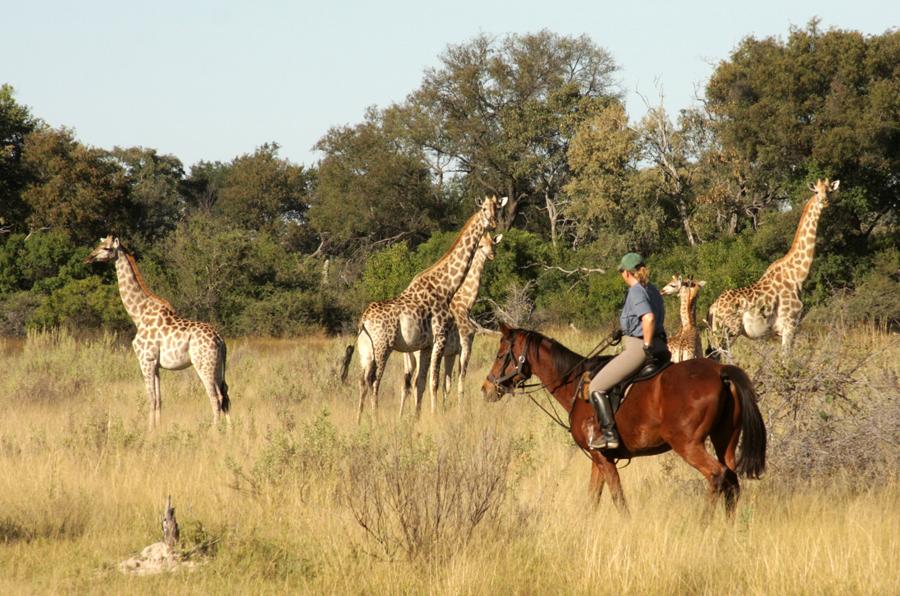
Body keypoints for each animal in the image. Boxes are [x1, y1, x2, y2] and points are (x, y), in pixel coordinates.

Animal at [86, 235, 230, 430]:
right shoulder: (156, 364)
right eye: (99, 244)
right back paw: (230, 430)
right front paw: (157, 429)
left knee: (215, 398)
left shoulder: (145, 360)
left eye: (107, 248)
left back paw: (214, 431)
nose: (89, 257)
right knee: (225, 395)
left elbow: (151, 399)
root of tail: (220, 340)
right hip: (218, 366)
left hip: (204, 364)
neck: (138, 314)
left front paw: (149, 431)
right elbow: (159, 400)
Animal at [402, 230, 502, 408]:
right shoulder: (465, 346)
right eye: (480, 245)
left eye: (493, 243)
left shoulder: (450, 353)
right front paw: (460, 410)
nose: (492, 255)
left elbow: (446, 385)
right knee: (415, 382)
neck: (466, 302)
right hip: (419, 352)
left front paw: (444, 408)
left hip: (409, 356)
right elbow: (461, 381)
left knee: (406, 385)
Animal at [478, 326, 768, 516]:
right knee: (732, 482)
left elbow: (618, 498)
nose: (487, 388)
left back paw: (704, 524)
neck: (574, 384)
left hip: (688, 445)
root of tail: (720, 371)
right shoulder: (598, 459)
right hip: (724, 440)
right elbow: (593, 499)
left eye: (501, 354)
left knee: (717, 477)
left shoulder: (603, 458)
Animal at [708, 179, 840, 356]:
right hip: (728, 333)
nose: (824, 201)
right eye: (816, 192)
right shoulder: (789, 325)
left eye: (829, 191)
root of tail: (713, 307)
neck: (797, 275)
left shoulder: (789, 329)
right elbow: (786, 359)